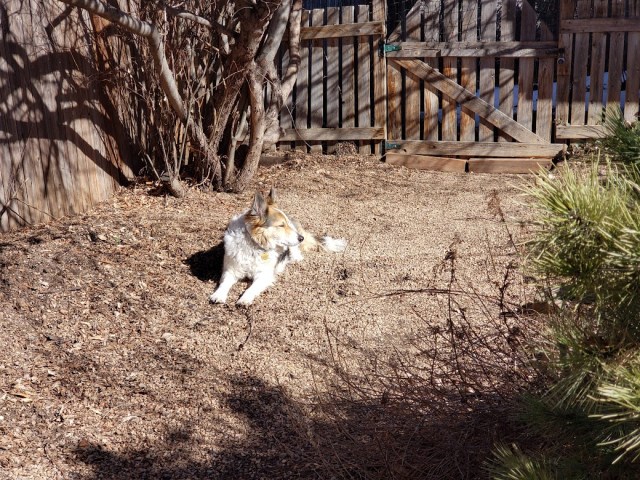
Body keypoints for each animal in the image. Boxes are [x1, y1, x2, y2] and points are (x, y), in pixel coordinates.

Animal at [209, 188, 346, 306]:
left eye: (285, 224)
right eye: (281, 225)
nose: (301, 238)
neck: (254, 245)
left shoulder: (264, 275)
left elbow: (251, 288)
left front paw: (245, 298)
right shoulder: (230, 270)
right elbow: (224, 284)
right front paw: (218, 295)